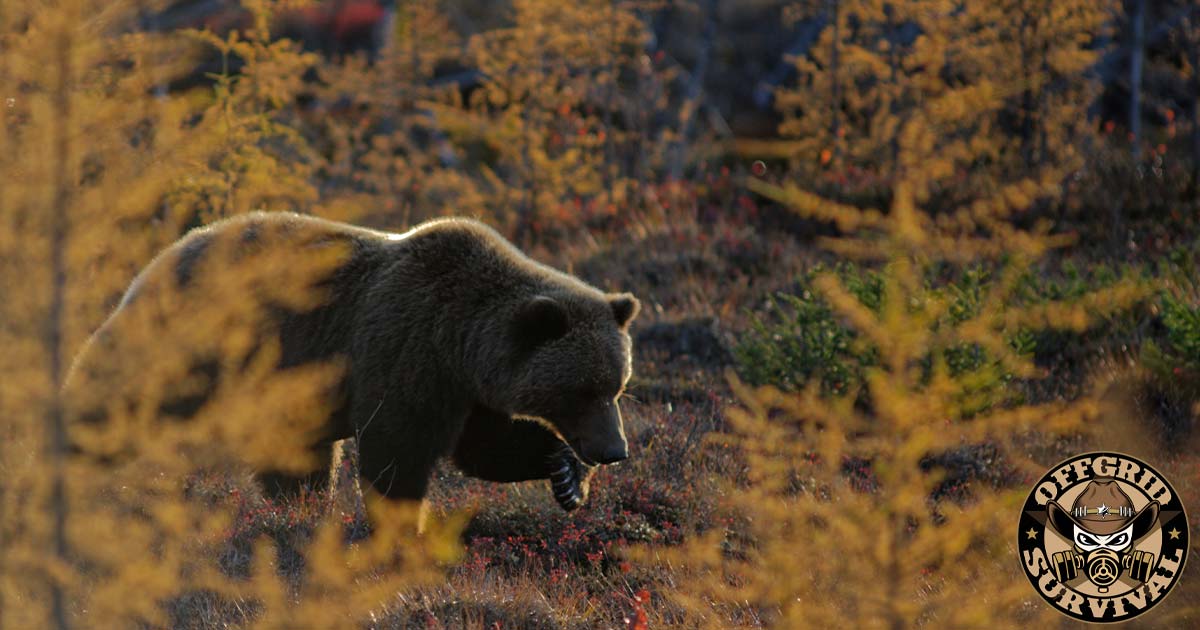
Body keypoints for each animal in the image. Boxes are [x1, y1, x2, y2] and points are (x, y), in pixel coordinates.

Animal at [65, 211, 640, 513]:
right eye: (582, 389)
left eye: (616, 386)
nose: (614, 451)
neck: (459, 344)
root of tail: (173, 248)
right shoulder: (405, 351)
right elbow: (396, 451)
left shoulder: (466, 390)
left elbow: (484, 448)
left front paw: (566, 475)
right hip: (194, 339)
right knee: (115, 394)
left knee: (295, 452)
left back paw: (299, 505)